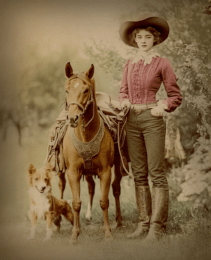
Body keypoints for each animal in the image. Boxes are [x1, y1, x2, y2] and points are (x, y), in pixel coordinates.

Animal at [57, 62, 123, 243]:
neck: (86, 136)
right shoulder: (73, 172)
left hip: (117, 166)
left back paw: (119, 221)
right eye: (67, 90)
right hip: (66, 171)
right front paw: (75, 233)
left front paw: (107, 232)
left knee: (116, 188)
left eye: (86, 90)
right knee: (66, 186)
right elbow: (76, 202)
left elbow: (104, 201)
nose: (73, 118)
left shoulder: (105, 171)